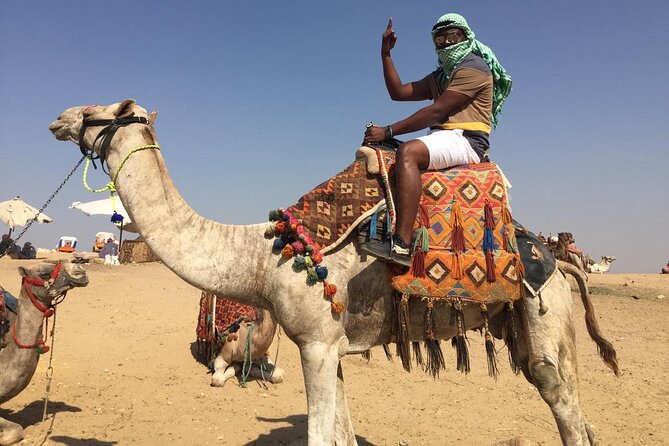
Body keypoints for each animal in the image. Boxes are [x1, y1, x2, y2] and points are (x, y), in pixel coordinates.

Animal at [49, 100, 618, 446]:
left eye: (96, 112)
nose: (58, 118)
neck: (261, 258)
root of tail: (560, 259)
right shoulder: (330, 345)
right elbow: (341, 434)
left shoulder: (317, 342)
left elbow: (320, 435)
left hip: (544, 315)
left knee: (564, 405)